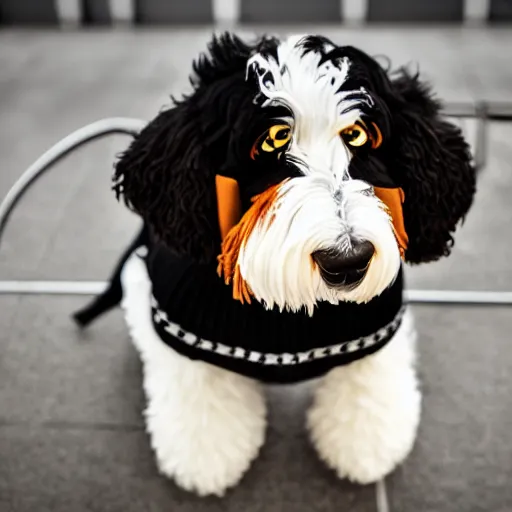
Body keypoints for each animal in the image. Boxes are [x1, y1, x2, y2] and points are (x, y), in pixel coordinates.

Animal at [73, 32, 476, 496]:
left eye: (357, 134)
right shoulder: (185, 334)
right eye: (273, 139)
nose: (347, 262)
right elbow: (203, 405)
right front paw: (206, 463)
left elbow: (367, 391)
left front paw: (364, 451)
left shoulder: (375, 333)